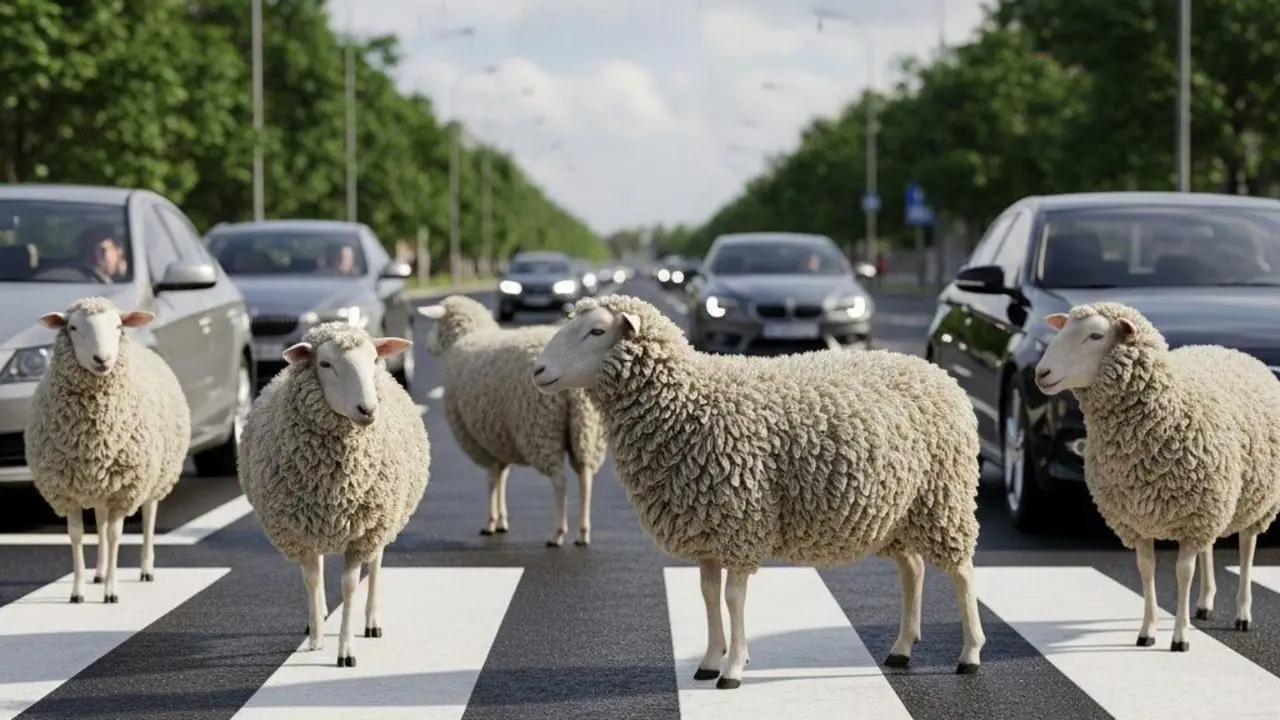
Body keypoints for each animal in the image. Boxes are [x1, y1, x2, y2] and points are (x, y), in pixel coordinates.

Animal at [24, 296, 190, 604]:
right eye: (73, 327)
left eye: (117, 325)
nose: (102, 360)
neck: (92, 436)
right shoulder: (67, 491)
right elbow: (77, 535)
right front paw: (78, 591)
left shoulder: (123, 491)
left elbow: (115, 535)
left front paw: (111, 591)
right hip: (101, 485)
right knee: (99, 522)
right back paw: (99, 572)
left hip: (157, 475)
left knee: (149, 517)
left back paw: (145, 569)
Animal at [237, 322, 429, 668]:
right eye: (325, 364)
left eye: (373, 359)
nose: (367, 409)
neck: (335, 484)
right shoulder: (300, 529)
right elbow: (312, 579)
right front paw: (315, 638)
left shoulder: (362, 534)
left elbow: (350, 586)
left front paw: (345, 651)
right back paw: (319, 616)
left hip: (381, 522)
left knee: (376, 564)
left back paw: (371, 622)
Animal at [415, 294, 606, 547]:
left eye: (435, 324)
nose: (428, 345)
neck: (464, 339)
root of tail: (573, 389)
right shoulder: (498, 436)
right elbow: (502, 476)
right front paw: (501, 521)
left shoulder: (479, 440)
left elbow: (492, 479)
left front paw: (490, 522)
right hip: (586, 429)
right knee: (585, 477)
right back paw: (583, 533)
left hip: (541, 427)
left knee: (560, 481)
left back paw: (557, 533)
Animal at [531, 294, 986, 688]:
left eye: (596, 330)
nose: (537, 370)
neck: (689, 404)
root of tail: (938, 374)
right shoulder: (707, 526)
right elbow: (708, 595)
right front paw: (709, 662)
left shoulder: (740, 522)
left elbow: (733, 598)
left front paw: (732, 669)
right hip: (900, 511)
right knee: (913, 569)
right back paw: (902, 648)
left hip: (945, 496)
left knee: (962, 572)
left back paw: (970, 654)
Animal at [1034, 301, 1280, 652]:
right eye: (1063, 329)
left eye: (1095, 336)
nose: (1041, 373)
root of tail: (1229, 350)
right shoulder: (1140, 519)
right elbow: (1146, 570)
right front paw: (1147, 631)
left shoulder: (1193, 519)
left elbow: (1183, 573)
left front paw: (1180, 637)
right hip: (1216, 503)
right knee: (1210, 548)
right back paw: (1204, 603)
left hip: (1257, 499)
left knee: (1247, 549)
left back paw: (1242, 613)